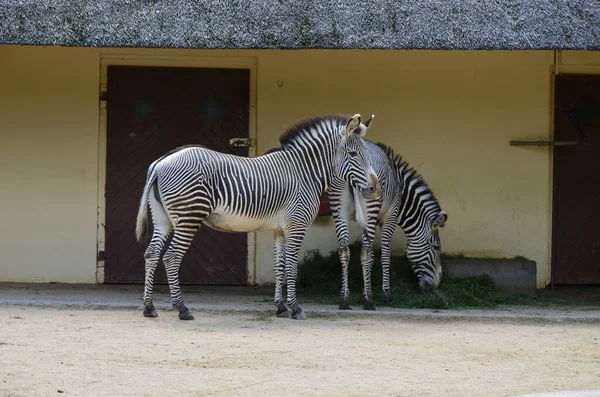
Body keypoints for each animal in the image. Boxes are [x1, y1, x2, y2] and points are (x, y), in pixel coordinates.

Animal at [137, 111, 380, 318]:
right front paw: (295, 308)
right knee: (171, 257)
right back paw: (182, 309)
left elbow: (279, 267)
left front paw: (280, 307)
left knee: (151, 254)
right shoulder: (297, 226)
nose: (374, 189)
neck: (304, 173)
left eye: (367, 155)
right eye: (352, 154)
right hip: (188, 217)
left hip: (163, 219)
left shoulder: (280, 230)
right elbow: (292, 267)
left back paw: (149, 307)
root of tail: (161, 162)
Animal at [328, 139, 446, 310]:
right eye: (436, 247)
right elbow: (384, 254)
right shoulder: (390, 215)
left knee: (344, 251)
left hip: (339, 210)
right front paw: (386, 293)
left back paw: (344, 299)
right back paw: (369, 301)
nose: (435, 287)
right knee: (365, 252)